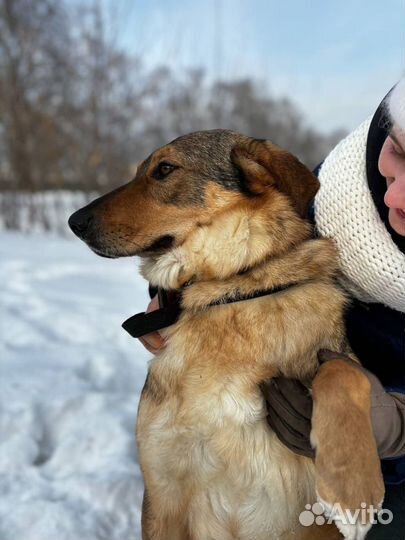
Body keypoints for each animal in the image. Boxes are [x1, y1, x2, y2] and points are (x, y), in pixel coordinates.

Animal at [68, 131, 382, 540]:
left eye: (164, 169)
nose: (74, 221)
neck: (226, 292)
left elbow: (343, 371)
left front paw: (354, 488)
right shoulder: (162, 496)